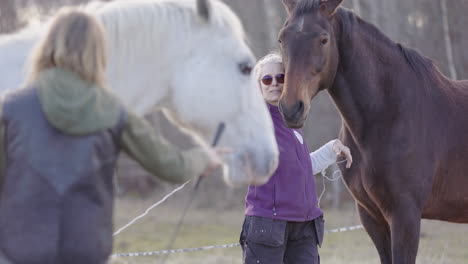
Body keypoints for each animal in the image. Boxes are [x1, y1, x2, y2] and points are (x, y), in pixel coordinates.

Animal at [278, 0, 468, 264]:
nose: (291, 109)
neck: (389, 114)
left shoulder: (405, 216)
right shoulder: (372, 217)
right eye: (282, 39)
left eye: (324, 39)